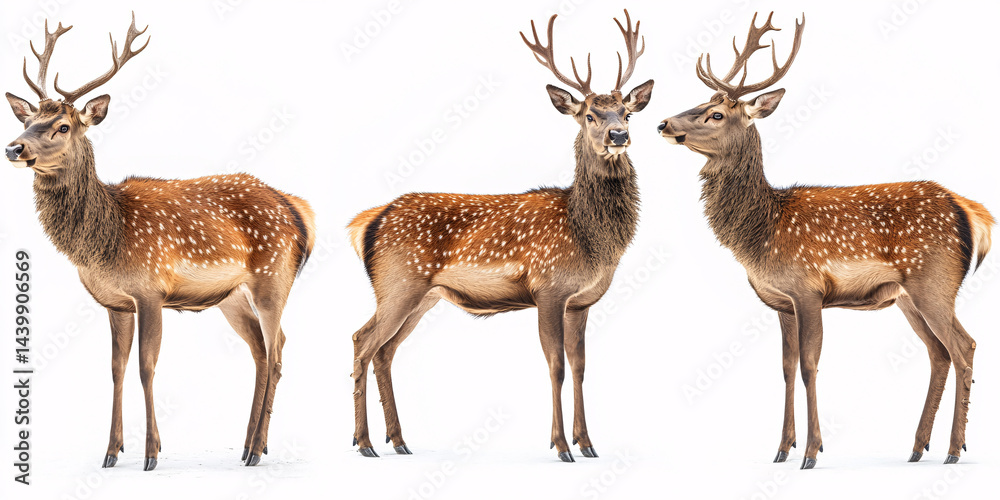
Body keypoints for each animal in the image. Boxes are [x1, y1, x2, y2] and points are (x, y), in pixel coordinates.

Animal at [4, 14, 316, 470]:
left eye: (63, 126)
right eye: (26, 122)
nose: (14, 148)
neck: (105, 241)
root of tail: (298, 210)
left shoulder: (150, 290)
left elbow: (145, 367)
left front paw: (151, 454)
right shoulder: (115, 302)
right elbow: (115, 368)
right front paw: (111, 452)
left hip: (273, 279)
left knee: (277, 350)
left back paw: (257, 449)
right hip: (231, 298)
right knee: (261, 352)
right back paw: (247, 446)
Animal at [347, 10, 653, 462]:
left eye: (627, 113)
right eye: (588, 115)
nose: (619, 136)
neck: (589, 239)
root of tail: (368, 221)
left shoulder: (580, 301)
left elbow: (580, 366)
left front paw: (588, 444)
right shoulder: (548, 287)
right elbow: (556, 365)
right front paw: (561, 446)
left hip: (422, 296)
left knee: (385, 350)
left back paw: (399, 441)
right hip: (398, 281)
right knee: (363, 340)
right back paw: (365, 442)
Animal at [657, 12, 994, 469]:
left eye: (715, 114)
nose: (663, 123)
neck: (761, 234)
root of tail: (968, 208)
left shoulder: (807, 289)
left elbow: (809, 365)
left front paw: (812, 453)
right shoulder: (780, 302)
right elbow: (785, 367)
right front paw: (781, 449)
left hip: (934, 281)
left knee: (964, 346)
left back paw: (954, 450)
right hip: (907, 297)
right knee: (938, 353)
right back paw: (916, 448)